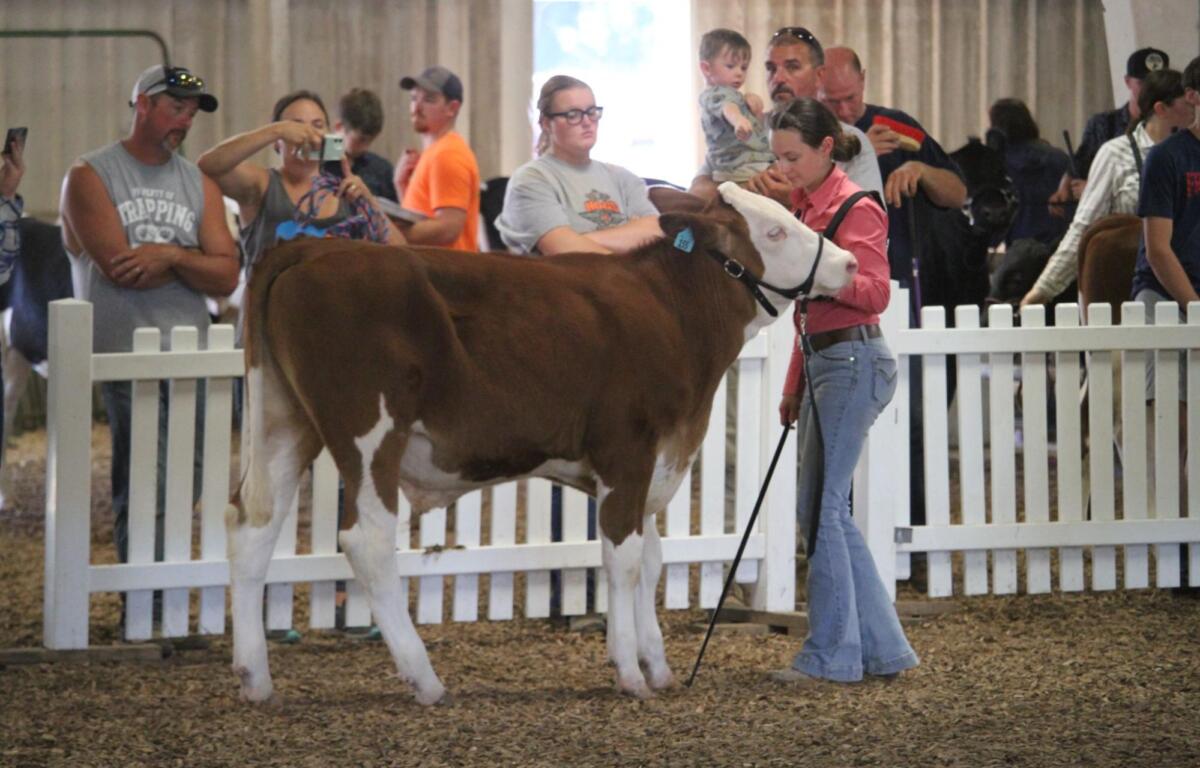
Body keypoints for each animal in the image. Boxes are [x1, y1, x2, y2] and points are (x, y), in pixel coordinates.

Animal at [225, 182, 857, 705]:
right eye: (774, 231)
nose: (849, 262)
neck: (673, 315)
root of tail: (309, 251)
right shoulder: (627, 451)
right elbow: (625, 560)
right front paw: (629, 672)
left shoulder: (656, 463)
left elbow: (651, 560)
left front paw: (658, 667)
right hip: (368, 429)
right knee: (368, 539)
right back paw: (425, 680)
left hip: (284, 421)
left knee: (254, 527)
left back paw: (256, 680)